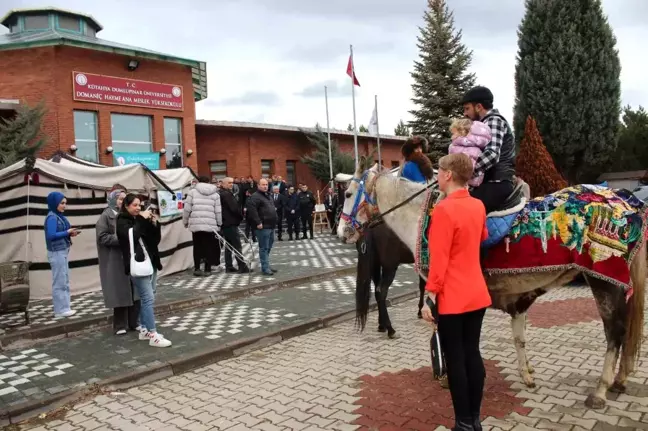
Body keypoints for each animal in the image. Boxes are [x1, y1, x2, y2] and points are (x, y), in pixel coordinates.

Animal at [336, 157, 644, 410]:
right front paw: (526, 373)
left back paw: (601, 390)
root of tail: (628, 202)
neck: (422, 216)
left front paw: (446, 376)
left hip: (604, 281)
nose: (341, 232)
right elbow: (519, 337)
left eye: (348, 194)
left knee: (615, 332)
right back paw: (619, 381)